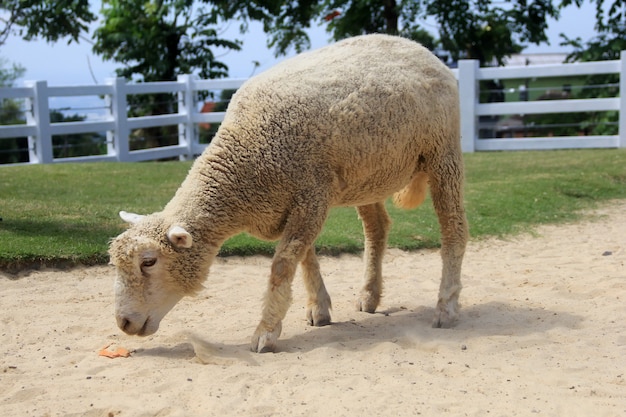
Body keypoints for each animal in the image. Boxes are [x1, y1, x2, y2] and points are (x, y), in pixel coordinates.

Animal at [108, 33, 468, 352]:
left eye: (149, 262)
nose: (123, 323)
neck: (244, 164)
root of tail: (417, 47)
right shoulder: (293, 203)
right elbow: (305, 256)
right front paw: (318, 309)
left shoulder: (310, 196)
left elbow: (282, 266)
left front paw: (265, 332)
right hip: (369, 173)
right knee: (377, 228)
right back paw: (369, 295)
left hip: (443, 152)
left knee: (454, 230)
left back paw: (446, 308)